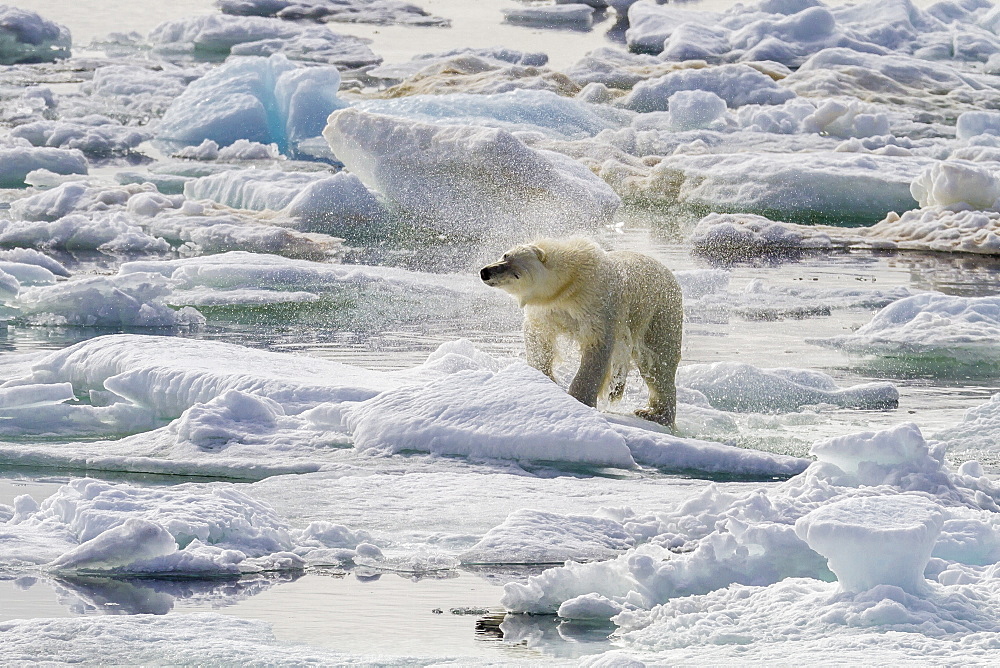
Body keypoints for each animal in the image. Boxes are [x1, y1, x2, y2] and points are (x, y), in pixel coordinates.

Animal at [480, 240, 684, 426]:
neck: (571, 279)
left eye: (517, 274)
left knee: (658, 361)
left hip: (659, 313)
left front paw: (578, 401)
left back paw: (656, 415)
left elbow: (596, 348)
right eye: (506, 255)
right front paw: (544, 380)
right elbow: (538, 335)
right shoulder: (548, 308)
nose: (486, 272)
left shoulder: (596, 304)